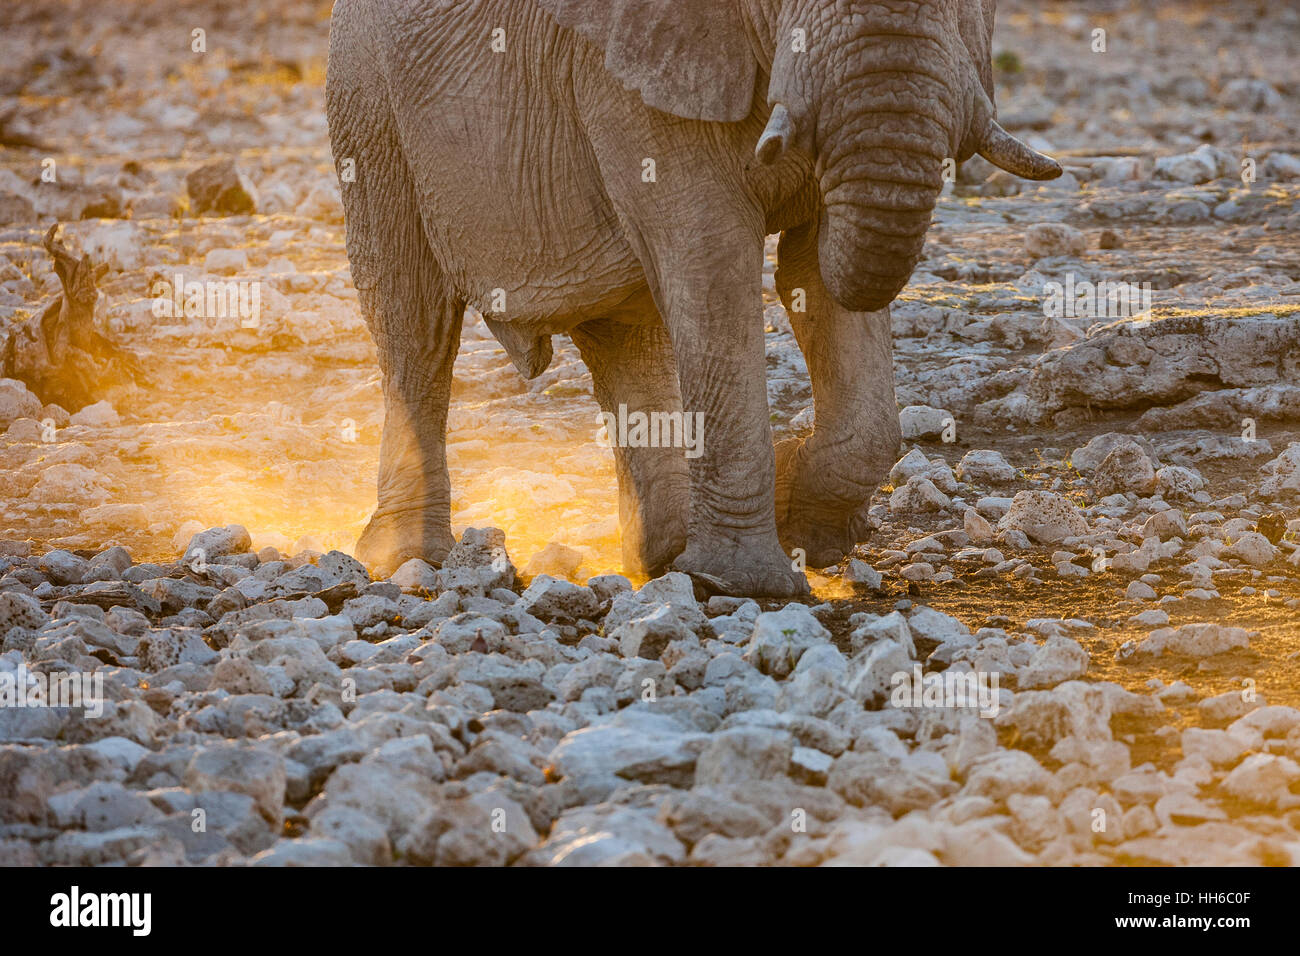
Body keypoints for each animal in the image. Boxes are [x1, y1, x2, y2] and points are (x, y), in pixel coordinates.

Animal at [322, 0, 1055, 595]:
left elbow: (812, 267)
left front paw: (803, 528)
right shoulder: (633, 75)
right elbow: (714, 257)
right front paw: (750, 582)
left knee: (627, 328)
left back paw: (663, 557)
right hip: (367, 104)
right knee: (415, 319)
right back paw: (409, 559)